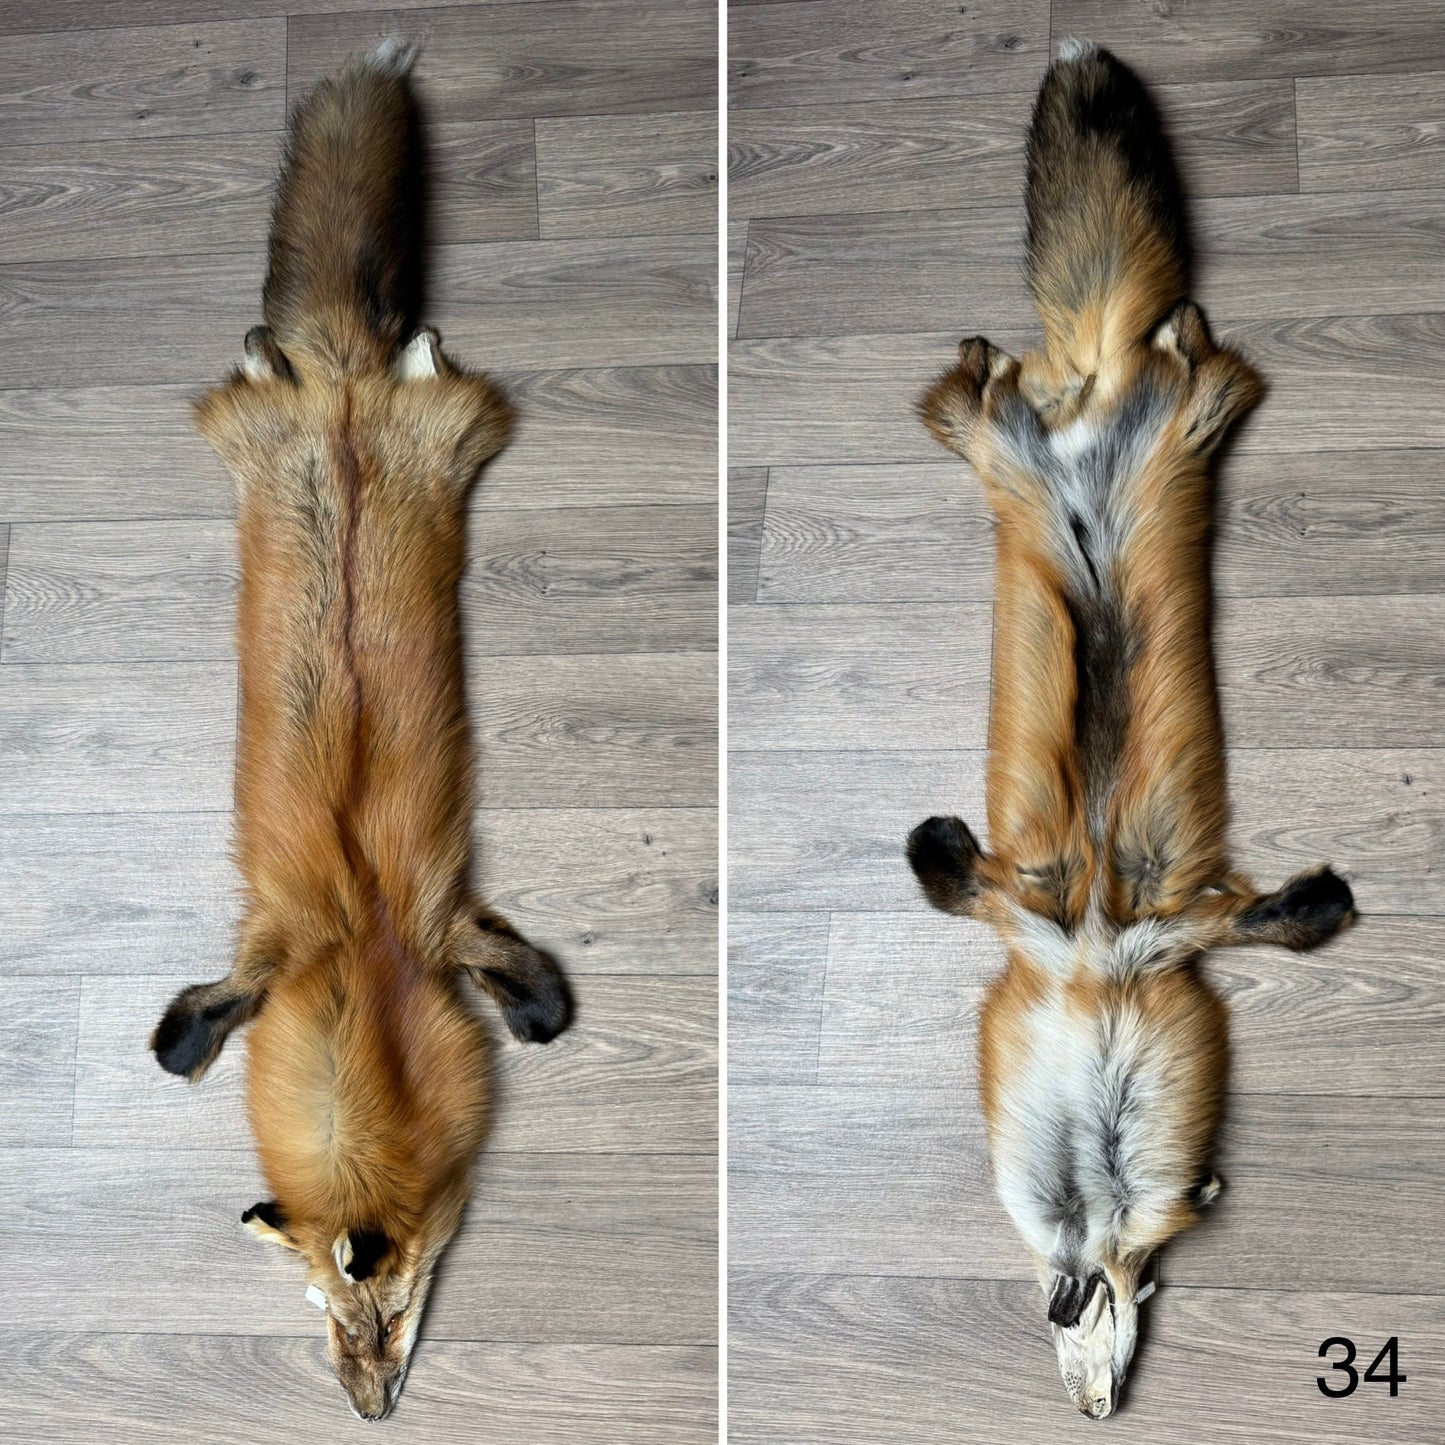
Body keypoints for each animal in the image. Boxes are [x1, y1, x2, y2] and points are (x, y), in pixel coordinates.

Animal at [149, 38, 571, 1421]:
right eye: (334, 1317)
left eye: (384, 1317)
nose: (372, 1409)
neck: (359, 973)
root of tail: (337, 385)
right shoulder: (286, 935)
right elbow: (205, 1017)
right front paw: (187, 1037)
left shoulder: (432, 919)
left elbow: (525, 995)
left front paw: (541, 1008)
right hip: (270, 425)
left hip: (444, 424)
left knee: (407, 358)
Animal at [907, 40, 1355, 1419]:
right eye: (1111, 1326)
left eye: (1140, 1304)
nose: (1094, 1405)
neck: (1101, 965)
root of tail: (1094, 389)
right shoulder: (1035, 917)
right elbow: (956, 877)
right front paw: (931, 842)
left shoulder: (1169, 925)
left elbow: (1257, 915)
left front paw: (1317, 906)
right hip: (1010, 447)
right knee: (984, 386)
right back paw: (988, 347)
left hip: (1185, 416)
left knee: (1188, 349)